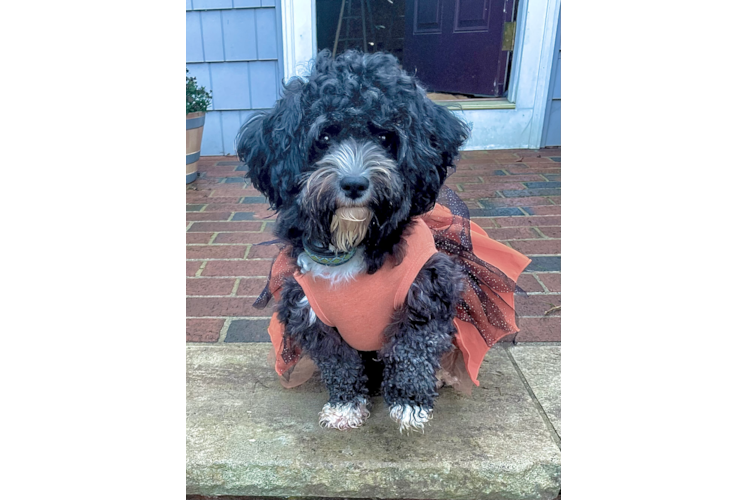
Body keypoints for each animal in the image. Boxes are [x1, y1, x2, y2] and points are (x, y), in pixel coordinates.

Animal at [237, 51, 528, 434]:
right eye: (324, 136)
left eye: (387, 137)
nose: (354, 183)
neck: (354, 243)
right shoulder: (309, 312)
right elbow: (340, 363)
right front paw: (345, 405)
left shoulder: (428, 292)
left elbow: (411, 351)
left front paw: (409, 403)